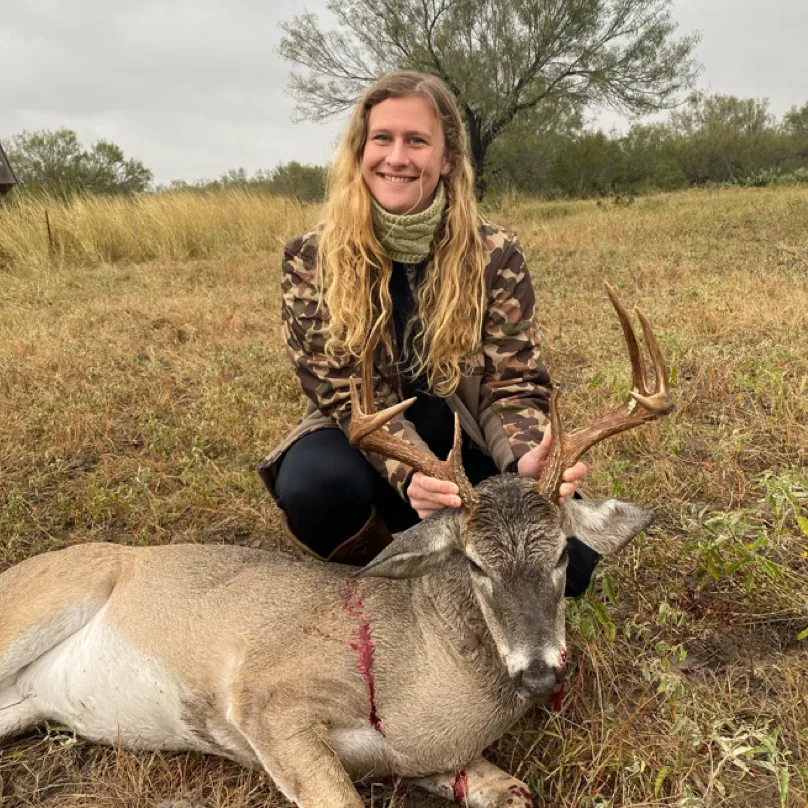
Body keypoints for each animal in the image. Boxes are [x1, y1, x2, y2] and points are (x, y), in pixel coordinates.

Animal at [0, 283, 672, 808]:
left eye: (560, 554)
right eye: (476, 564)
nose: (538, 672)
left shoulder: (416, 757)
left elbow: (512, 790)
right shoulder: (266, 696)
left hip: (26, 703)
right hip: (46, 601)